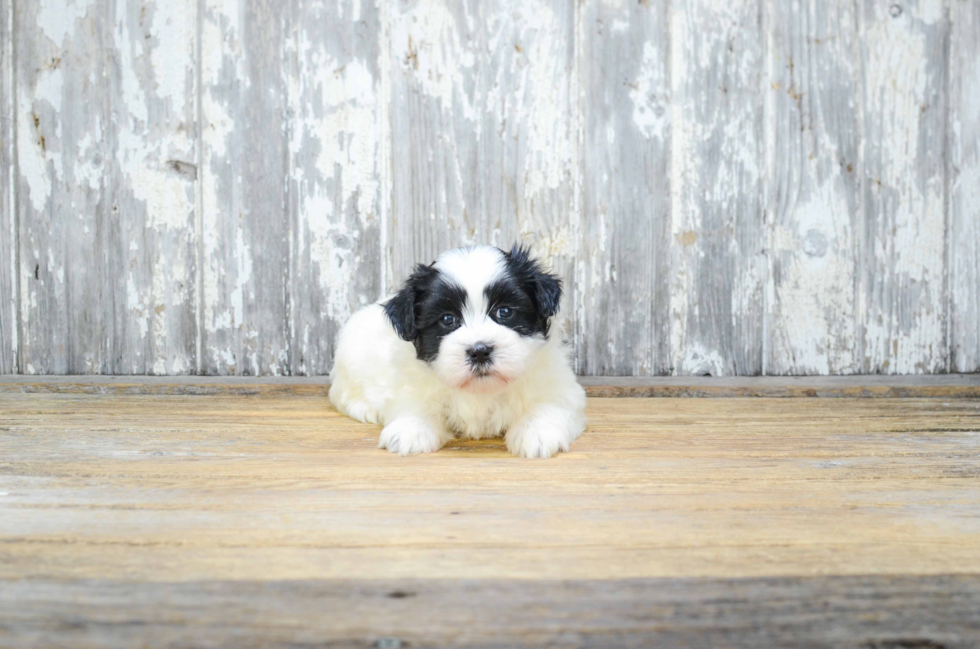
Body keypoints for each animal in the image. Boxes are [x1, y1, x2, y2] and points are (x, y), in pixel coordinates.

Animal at [330, 246, 588, 458]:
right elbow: (414, 403)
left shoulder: (557, 385)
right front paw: (409, 430)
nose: (480, 351)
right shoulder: (411, 382)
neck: (481, 391)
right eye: (447, 319)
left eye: (505, 312)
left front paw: (537, 433)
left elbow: (549, 404)